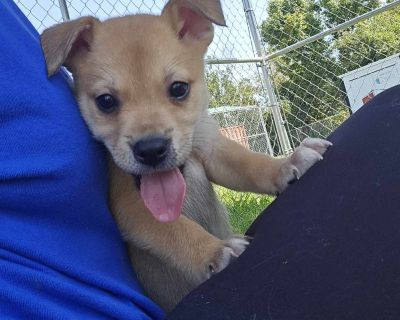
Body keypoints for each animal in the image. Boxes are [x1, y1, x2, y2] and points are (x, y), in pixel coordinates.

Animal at [40, 0, 332, 310]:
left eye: (179, 88)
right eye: (105, 101)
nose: (151, 150)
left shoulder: (212, 148)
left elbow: (250, 164)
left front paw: (287, 163)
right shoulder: (129, 204)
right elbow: (177, 232)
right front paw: (216, 251)